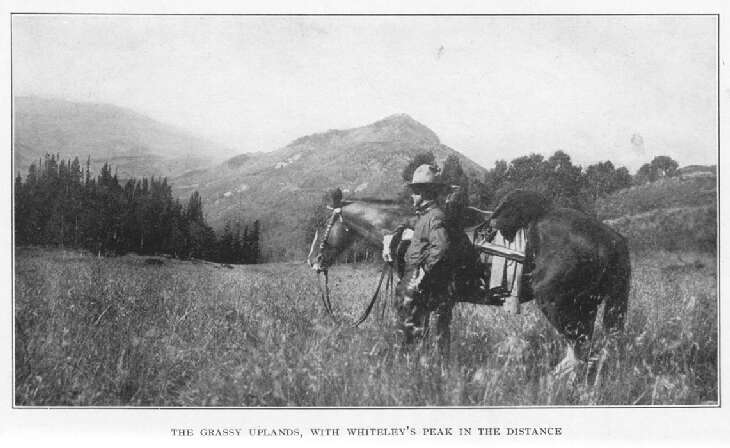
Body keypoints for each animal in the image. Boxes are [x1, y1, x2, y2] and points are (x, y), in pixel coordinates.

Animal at [304, 189, 628, 372]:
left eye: (323, 224)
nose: (313, 261)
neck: (407, 231)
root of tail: (611, 236)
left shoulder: (427, 300)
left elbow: (430, 339)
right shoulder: (442, 303)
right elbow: (438, 340)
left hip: (560, 307)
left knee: (580, 352)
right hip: (586, 308)